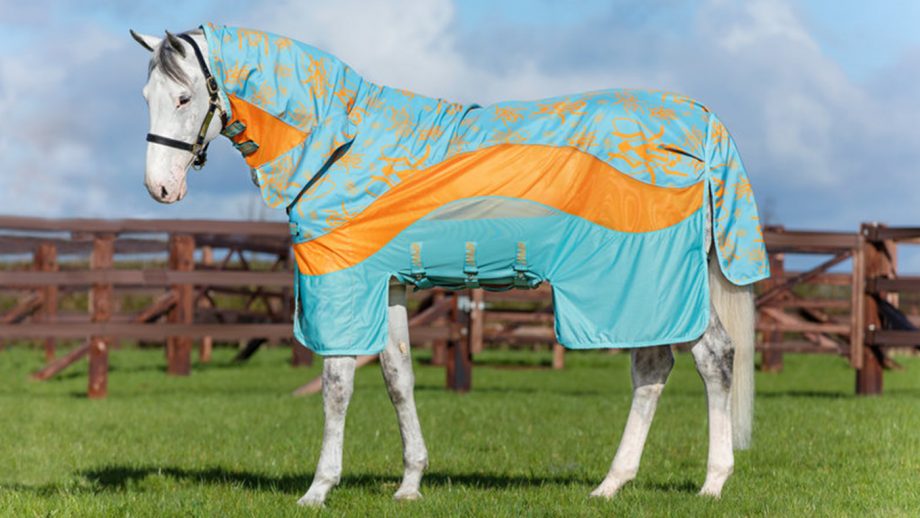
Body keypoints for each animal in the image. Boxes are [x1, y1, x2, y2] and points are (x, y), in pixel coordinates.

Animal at [131, 24, 765, 507]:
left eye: (184, 98)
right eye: (146, 97)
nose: (160, 188)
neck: (341, 146)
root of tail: (699, 121)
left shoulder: (343, 283)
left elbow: (337, 385)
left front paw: (318, 489)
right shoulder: (387, 285)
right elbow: (398, 377)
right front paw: (410, 482)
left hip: (642, 281)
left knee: (711, 358)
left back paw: (711, 484)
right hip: (643, 288)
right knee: (654, 370)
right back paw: (612, 484)